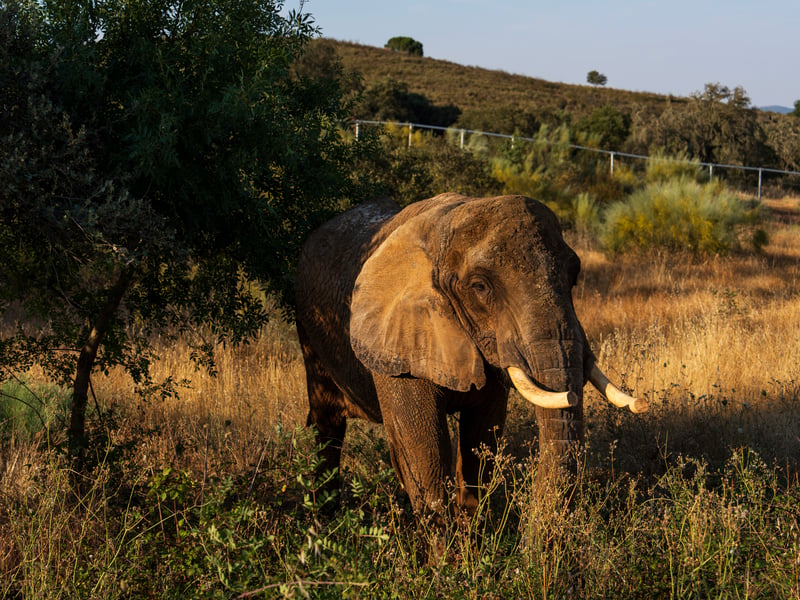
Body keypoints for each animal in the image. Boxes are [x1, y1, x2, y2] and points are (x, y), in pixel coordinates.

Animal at [294, 193, 646, 515]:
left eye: (574, 275)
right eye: (480, 287)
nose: (642, 403)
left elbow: (481, 438)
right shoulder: (397, 344)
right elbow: (425, 453)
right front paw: (444, 545)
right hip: (308, 329)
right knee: (328, 424)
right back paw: (324, 515)